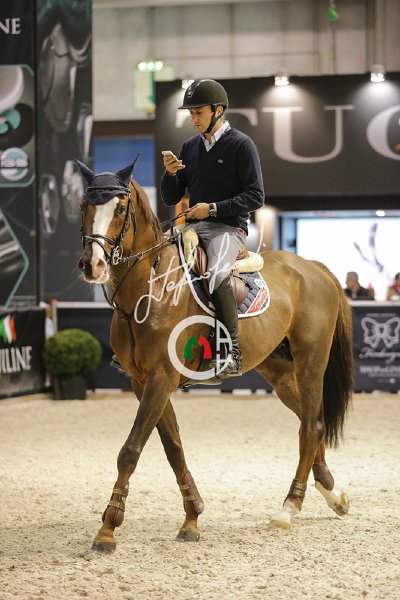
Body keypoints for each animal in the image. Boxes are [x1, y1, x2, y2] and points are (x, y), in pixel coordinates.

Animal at [76, 157, 353, 554]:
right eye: (84, 206)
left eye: (119, 208)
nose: (92, 264)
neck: (149, 289)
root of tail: (314, 267)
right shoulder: (144, 382)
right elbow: (173, 448)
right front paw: (192, 518)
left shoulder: (161, 378)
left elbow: (131, 449)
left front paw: (107, 529)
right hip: (280, 372)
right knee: (308, 421)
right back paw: (332, 494)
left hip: (311, 364)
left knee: (311, 427)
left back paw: (289, 507)